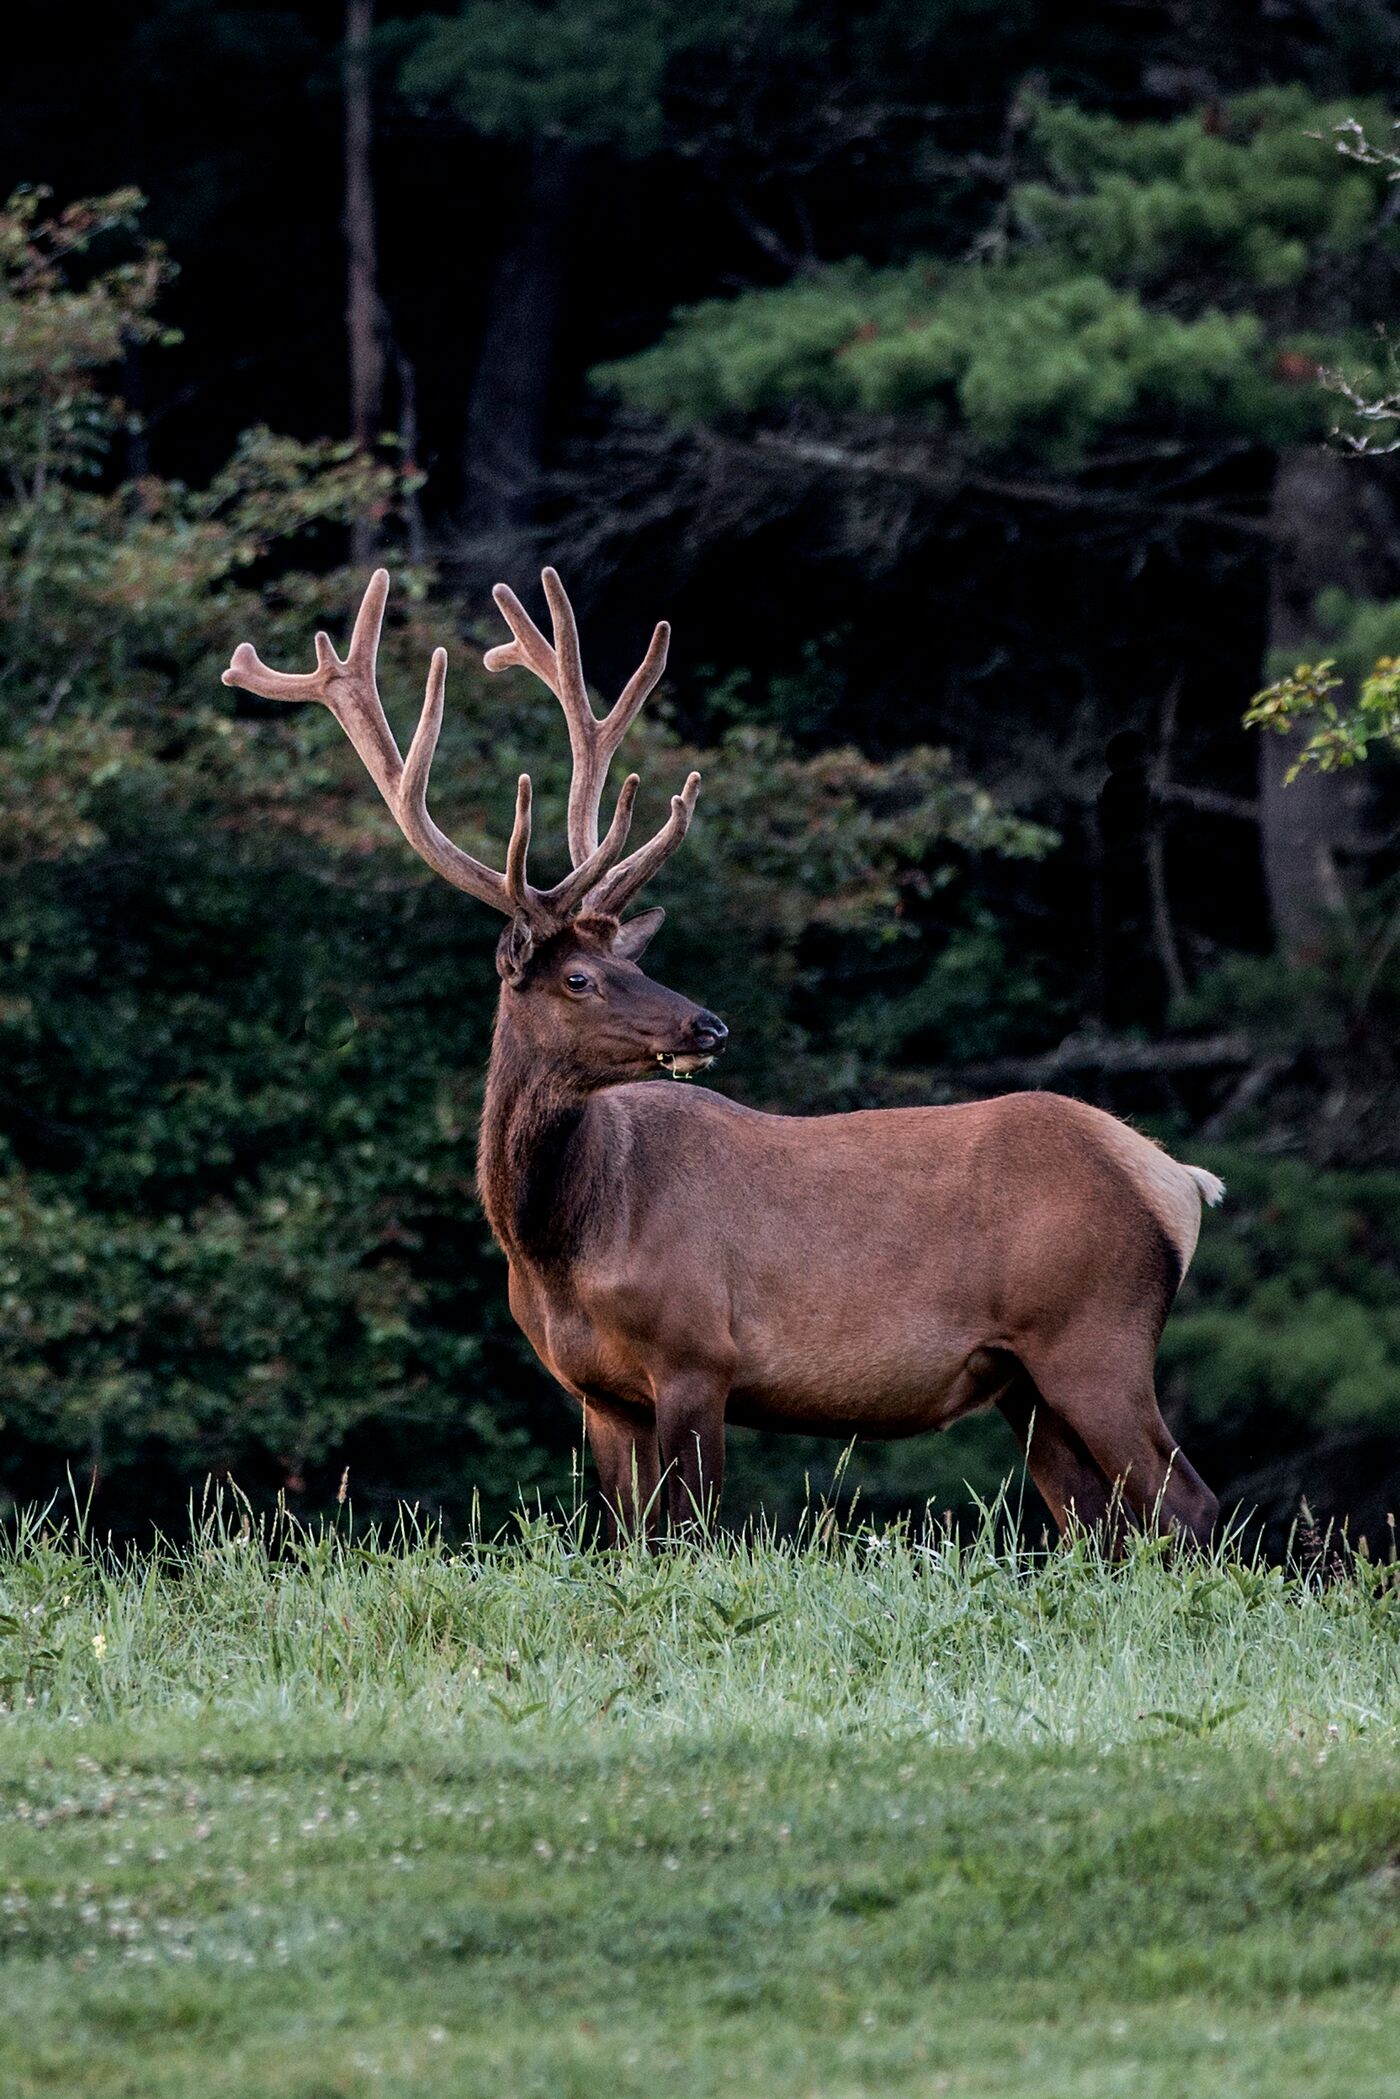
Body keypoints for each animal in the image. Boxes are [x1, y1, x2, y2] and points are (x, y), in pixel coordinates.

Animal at [223, 567, 1224, 1545]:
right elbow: (629, 1541)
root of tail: (1177, 1180)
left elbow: (690, 1536)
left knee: (1188, 1505)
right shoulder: (601, 1393)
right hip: (1024, 1377)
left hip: (1092, 1334)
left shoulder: (698, 1353)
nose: (709, 1026)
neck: (562, 1249)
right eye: (583, 976)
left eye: (631, 962)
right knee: (1101, 1523)